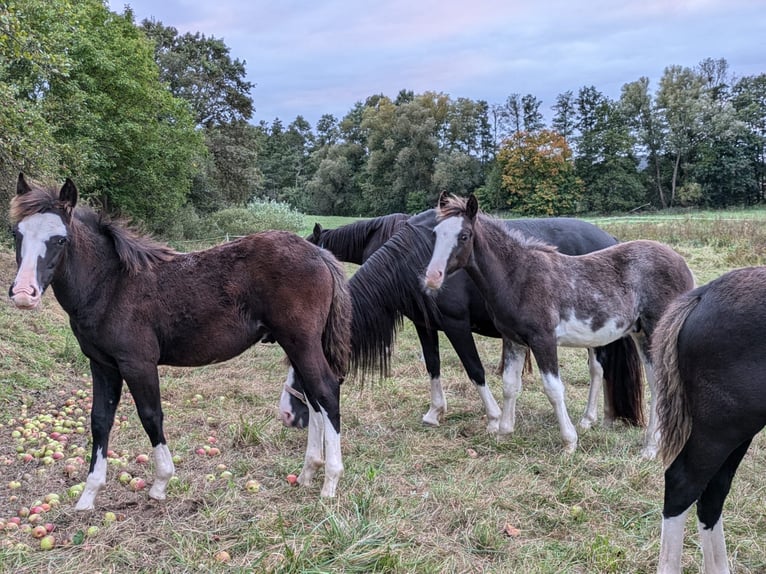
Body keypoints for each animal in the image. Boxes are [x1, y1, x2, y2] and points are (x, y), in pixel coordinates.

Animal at [9, 173, 352, 506]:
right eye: (16, 234)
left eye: (60, 239)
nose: (24, 294)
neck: (110, 285)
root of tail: (319, 253)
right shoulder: (102, 364)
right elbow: (100, 420)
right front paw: (88, 496)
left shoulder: (137, 362)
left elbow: (151, 416)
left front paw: (161, 483)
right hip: (296, 344)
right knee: (312, 396)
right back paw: (309, 472)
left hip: (301, 341)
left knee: (326, 390)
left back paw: (331, 483)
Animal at [284, 209, 644, 438]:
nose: (288, 414)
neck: (413, 257)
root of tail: (610, 238)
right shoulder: (424, 324)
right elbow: (433, 365)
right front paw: (435, 412)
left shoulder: (456, 325)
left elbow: (475, 369)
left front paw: (494, 419)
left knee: (596, 369)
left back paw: (587, 419)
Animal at [424, 196, 700, 456]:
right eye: (435, 234)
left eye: (464, 236)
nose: (432, 277)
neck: (518, 277)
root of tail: (682, 264)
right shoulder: (513, 340)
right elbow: (510, 385)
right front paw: (503, 433)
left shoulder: (543, 339)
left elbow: (553, 389)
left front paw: (569, 442)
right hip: (641, 334)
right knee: (656, 382)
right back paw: (651, 446)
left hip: (656, 333)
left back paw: (653, 447)